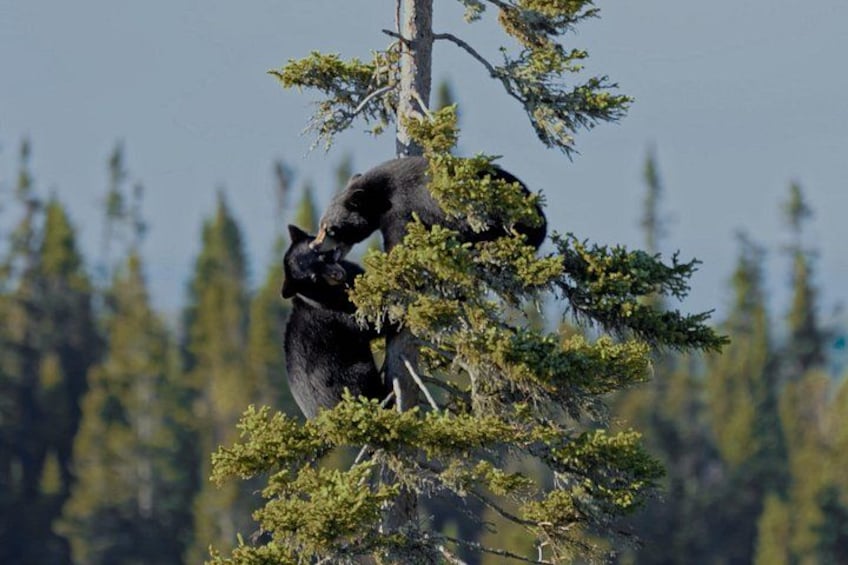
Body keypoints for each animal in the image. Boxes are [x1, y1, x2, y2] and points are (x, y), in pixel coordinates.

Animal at [281, 225, 389, 419]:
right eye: (314, 278)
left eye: (322, 256)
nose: (338, 274)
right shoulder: (336, 312)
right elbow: (369, 323)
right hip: (351, 377)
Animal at [310, 156, 546, 256]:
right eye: (321, 225)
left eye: (331, 229)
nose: (314, 245)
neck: (380, 195)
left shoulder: (402, 209)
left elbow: (398, 240)